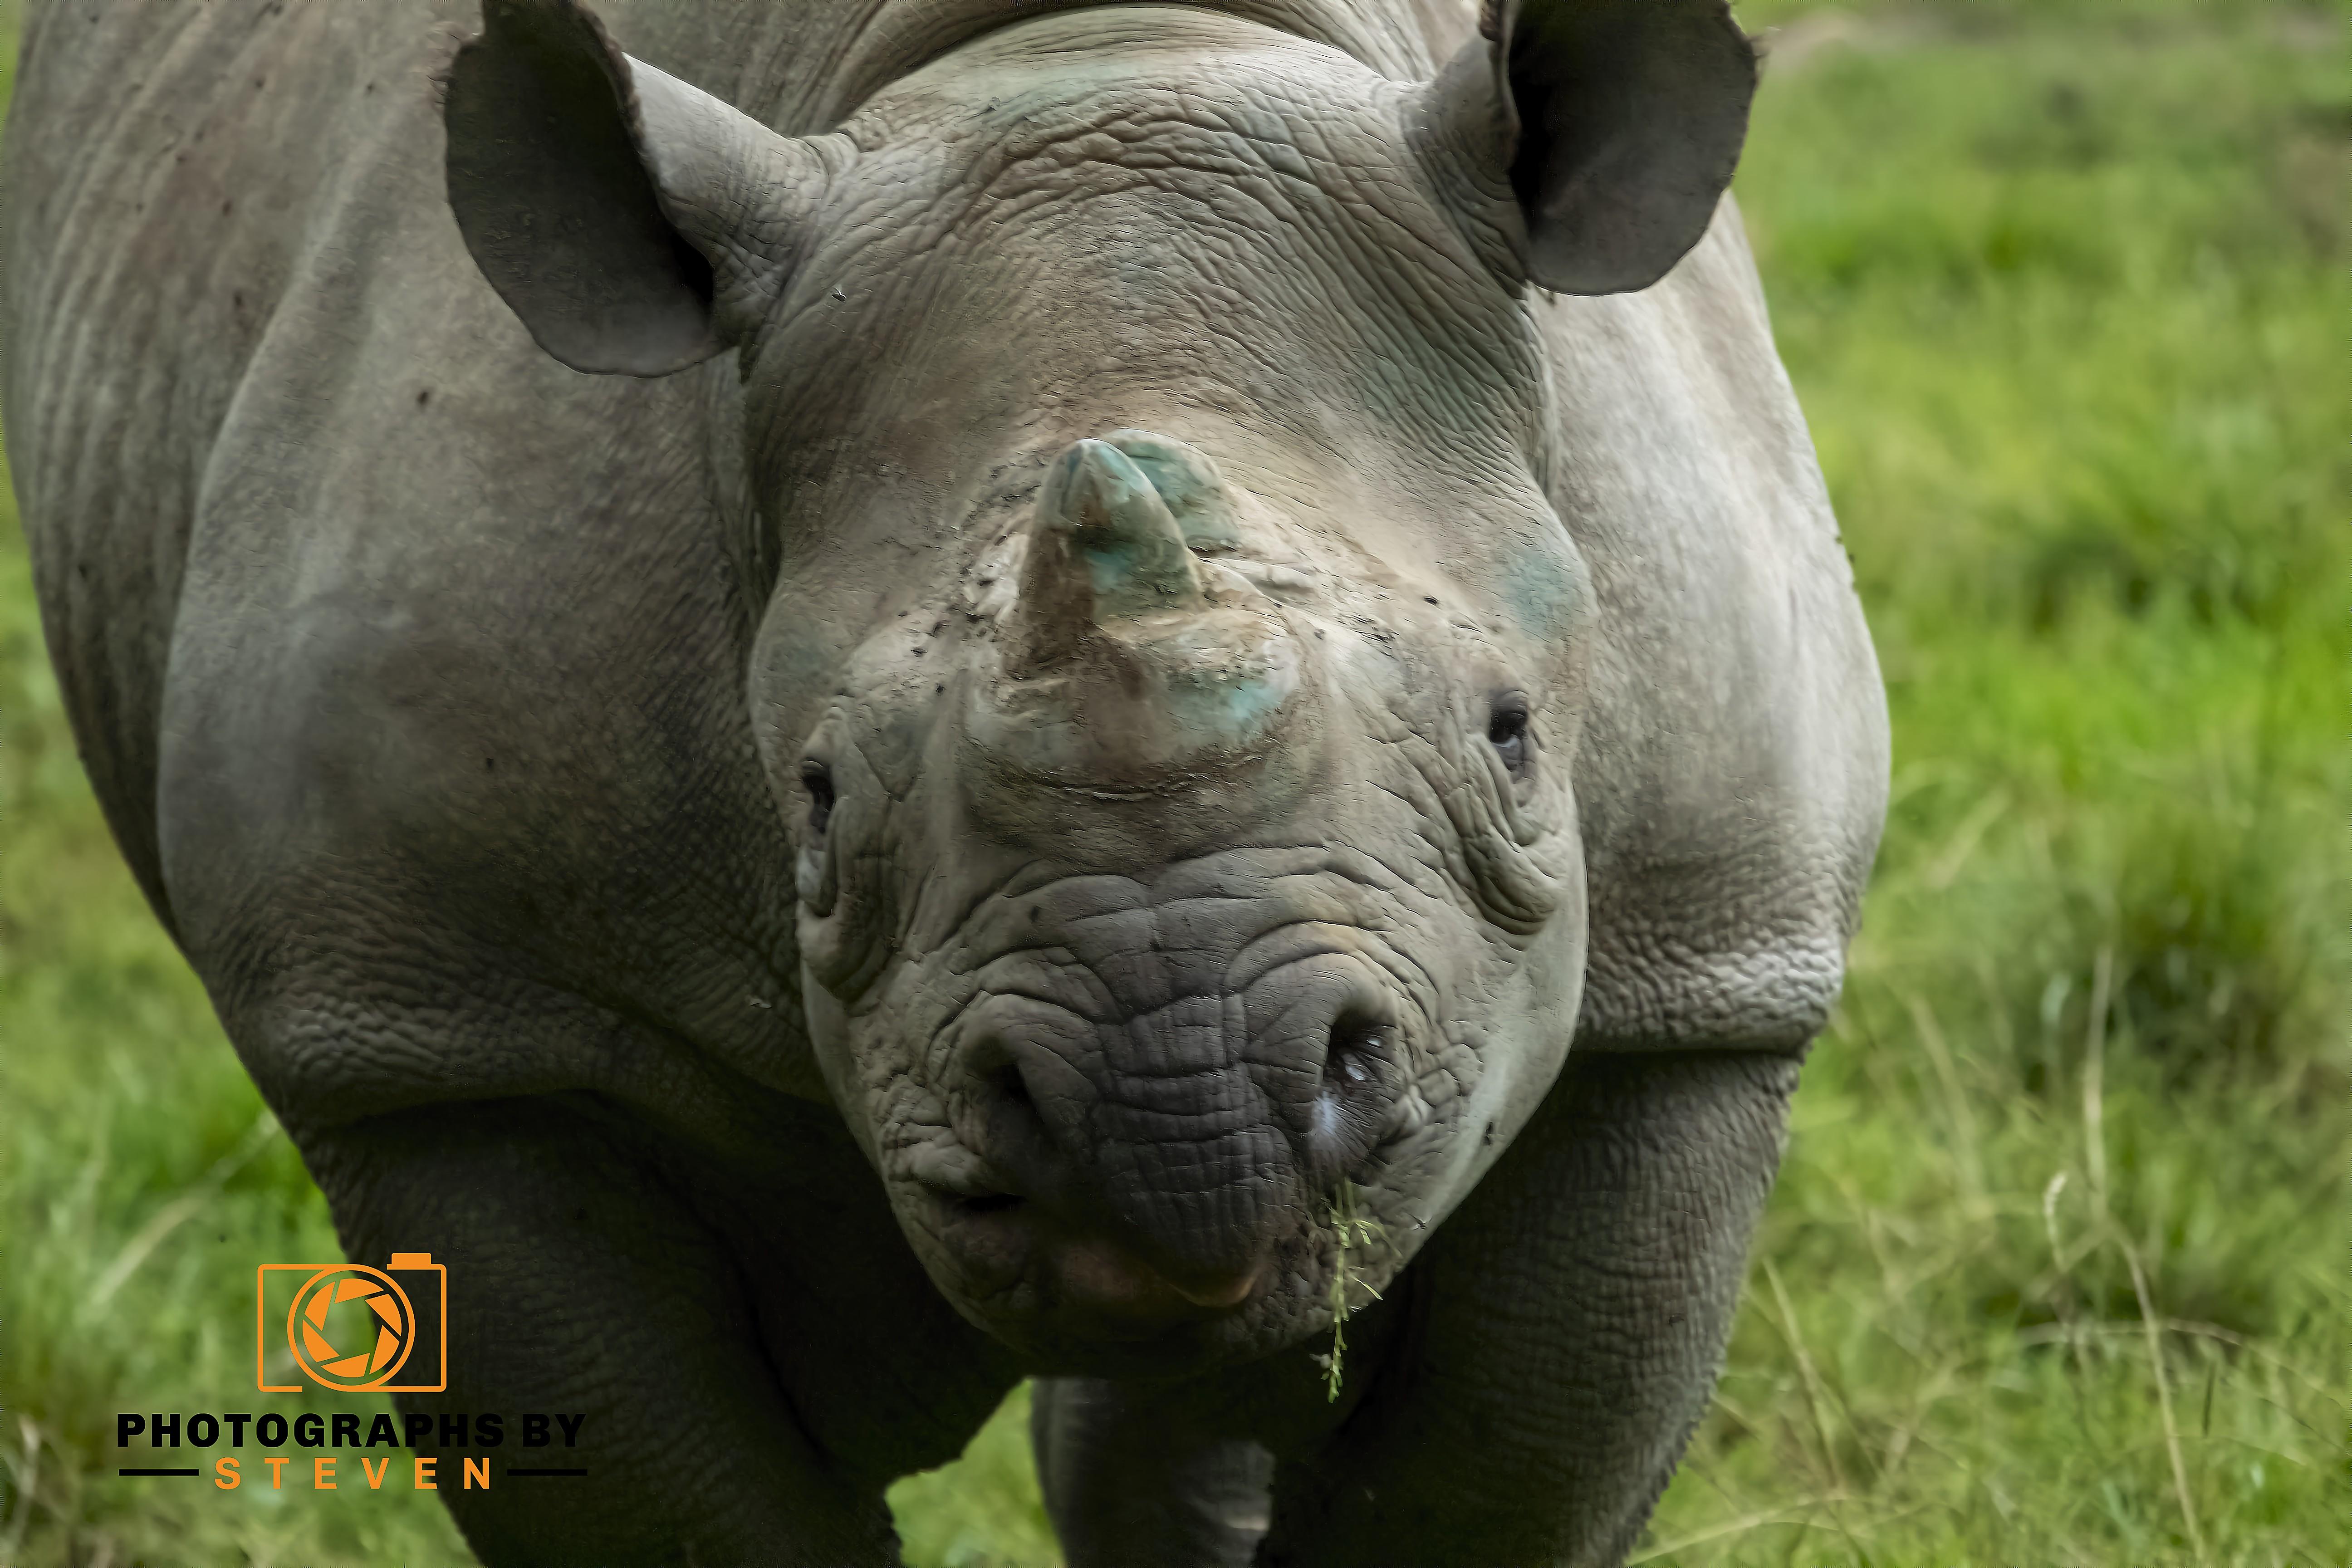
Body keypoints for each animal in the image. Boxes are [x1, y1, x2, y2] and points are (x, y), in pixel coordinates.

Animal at [2, 0, 1887, 1559]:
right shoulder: (450, 1047)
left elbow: (1494, 1484)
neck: (1094, 52)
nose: (1181, 1103)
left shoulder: (1696, 992)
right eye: (818, 802)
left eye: (1511, 735)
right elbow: (691, 1515)